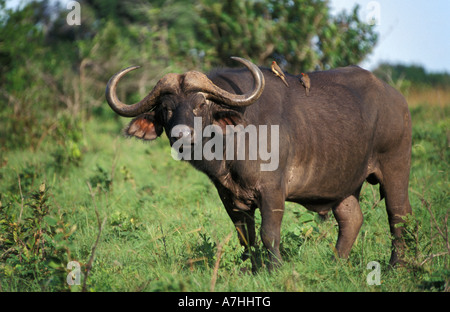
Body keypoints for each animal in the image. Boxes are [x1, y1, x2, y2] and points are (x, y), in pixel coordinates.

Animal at [105, 56, 412, 270]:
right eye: (166, 108)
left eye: (200, 104)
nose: (182, 135)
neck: (230, 146)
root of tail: (397, 99)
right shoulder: (230, 197)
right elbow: (246, 237)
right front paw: (253, 269)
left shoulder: (273, 191)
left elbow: (269, 234)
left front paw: (275, 269)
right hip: (344, 186)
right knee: (352, 219)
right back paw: (336, 262)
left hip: (395, 168)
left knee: (399, 215)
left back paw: (398, 266)